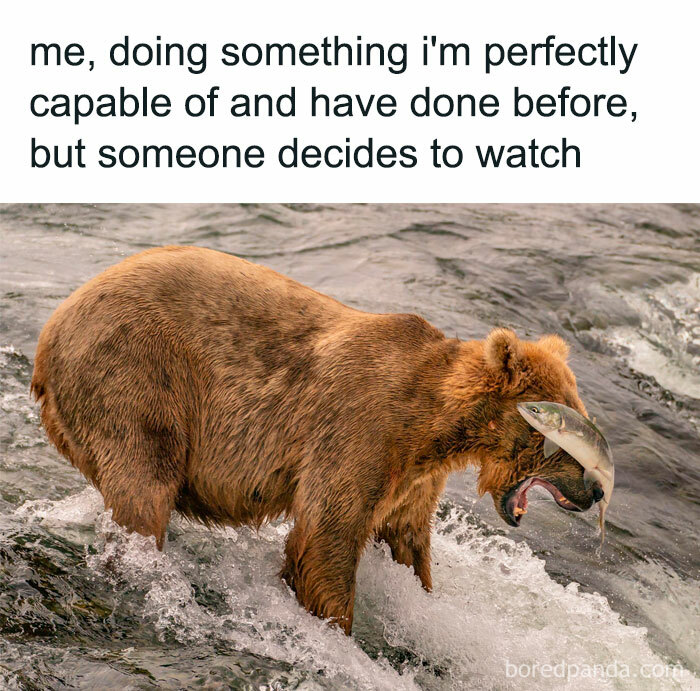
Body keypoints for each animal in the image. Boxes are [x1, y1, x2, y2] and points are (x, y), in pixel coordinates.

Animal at [31, 245, 599, 634]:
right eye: (562, 435)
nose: (594, 488)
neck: (435, 426)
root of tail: (51, 330)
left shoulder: (414, 478)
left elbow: (407, 540)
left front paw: (422, 600)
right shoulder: (360, 429)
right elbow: (327, 535)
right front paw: (337, 627)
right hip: (137, 374)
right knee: (144, 487)